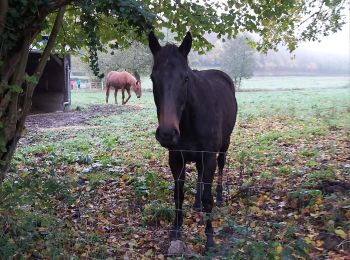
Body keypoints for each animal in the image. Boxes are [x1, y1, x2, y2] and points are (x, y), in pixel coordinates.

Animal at [148, 31, 238, 249]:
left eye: (185, 78)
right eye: (153, 78)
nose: (167, 133)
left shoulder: (209, 157)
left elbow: (208, 198)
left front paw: (210, 238)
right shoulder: (176, 158)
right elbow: (178, 195)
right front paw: (176, 229)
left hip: (223, 146)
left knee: (221, 166)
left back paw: (220, 196)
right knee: (198, 174)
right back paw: (196, 204)